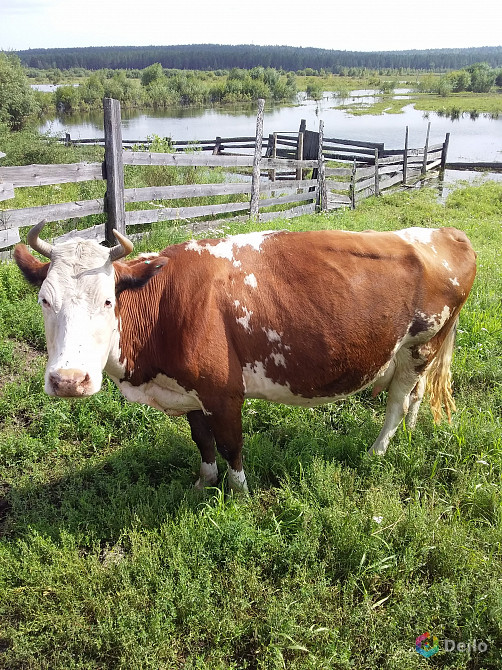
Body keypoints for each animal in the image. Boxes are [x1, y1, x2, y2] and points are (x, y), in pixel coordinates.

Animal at [12, 223, 474, 490]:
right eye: (44, 300)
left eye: (108, 301)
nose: (69, 380)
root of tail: (447, 232)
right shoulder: (189, 390)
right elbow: (202, 441)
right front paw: (204, 481)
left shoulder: (223, 391)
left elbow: (231, 443)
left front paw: (237, 491)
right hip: (418, 352)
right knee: (413, 394)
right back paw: (409, 434)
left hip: (420, 343)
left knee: (397, 400)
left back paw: (378, 451)